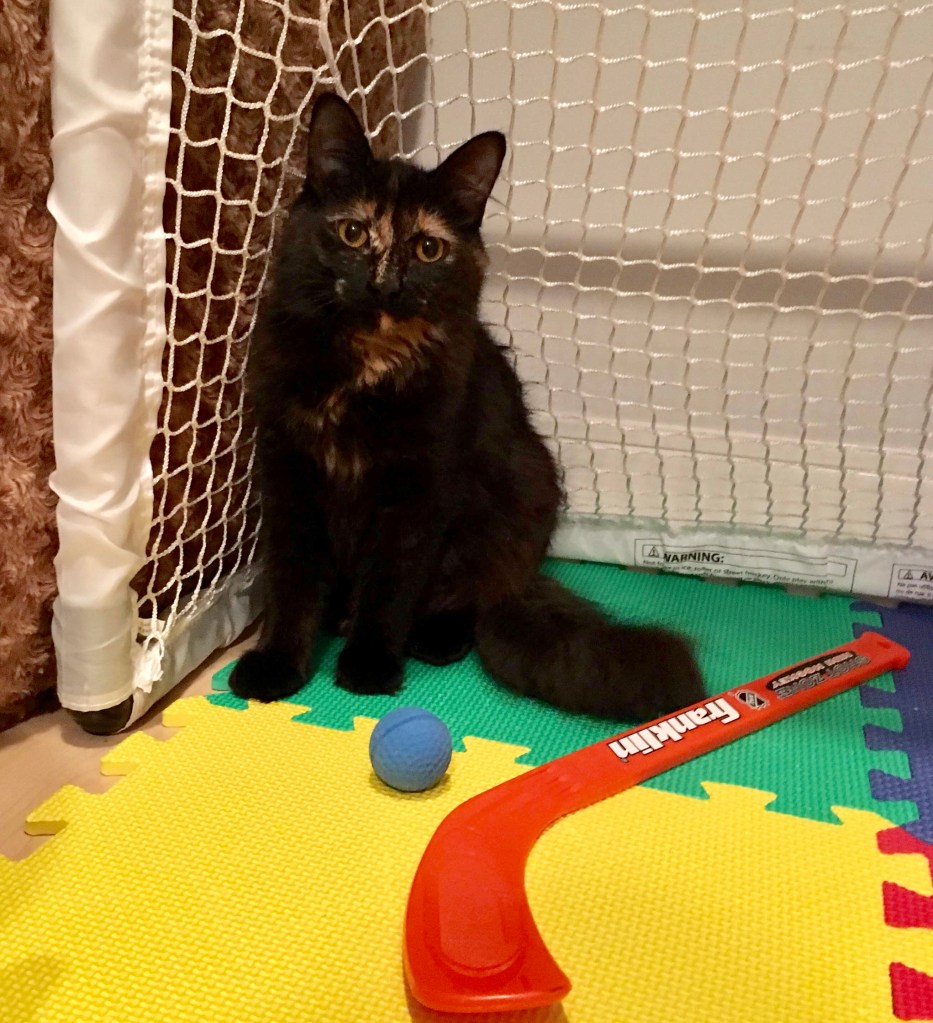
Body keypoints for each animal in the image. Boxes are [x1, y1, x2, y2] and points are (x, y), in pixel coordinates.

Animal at [228, 92, 704, 720]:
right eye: (353, 233)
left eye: (428, 248)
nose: (387, 285)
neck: (367, 367)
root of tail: (523, 579)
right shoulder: (290, 474)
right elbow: (293, 582)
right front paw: (277, 665)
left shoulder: (417, 492)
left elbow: (391, 585)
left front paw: (370, 667)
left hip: (513, 505)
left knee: (470, 599)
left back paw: (430, 637)